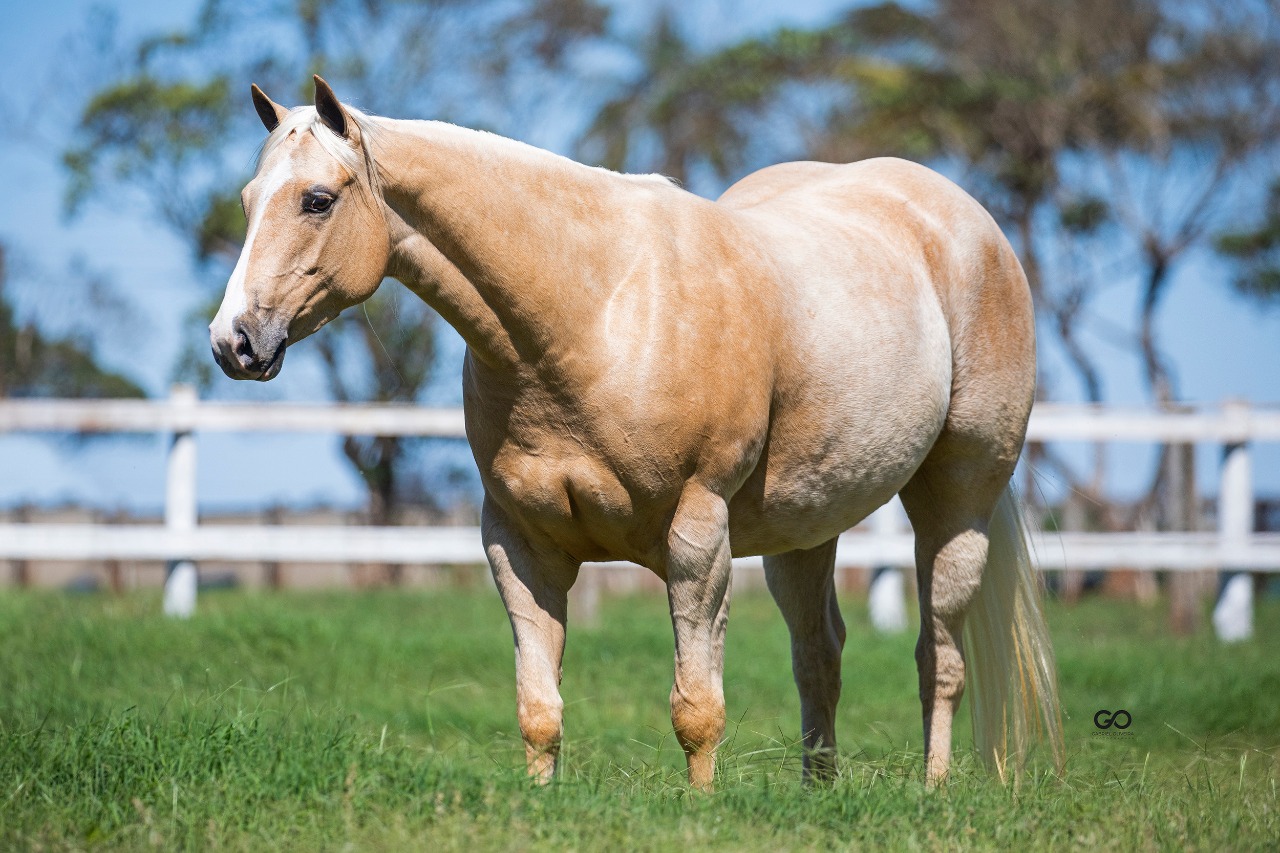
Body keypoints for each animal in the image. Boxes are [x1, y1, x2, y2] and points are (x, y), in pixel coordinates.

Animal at [215, 78, 1064, 783]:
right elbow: (539, 709)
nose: (234, 341)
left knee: (939, 656)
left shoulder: (696, 539)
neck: (592, 311)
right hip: (804, 529)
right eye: (251, 199)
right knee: (819, 656)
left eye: (316, 199)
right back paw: (818, 794)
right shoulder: (520, 544)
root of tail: (964, 221)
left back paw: (934, 789)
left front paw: (700, 811)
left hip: (957, 499)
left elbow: (697, 708)